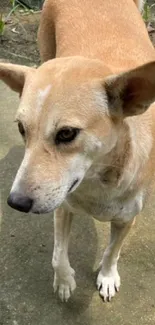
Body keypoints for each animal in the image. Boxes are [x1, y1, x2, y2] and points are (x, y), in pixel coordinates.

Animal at [0, 0, 155, 302]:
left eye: (67, 134)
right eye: (22, 128)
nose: (16, 202)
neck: (99, 181)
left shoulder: (127, 219)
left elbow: (113, 251)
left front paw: (107, 276)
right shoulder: (61, 206)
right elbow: (58, 254)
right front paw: (63, 281)